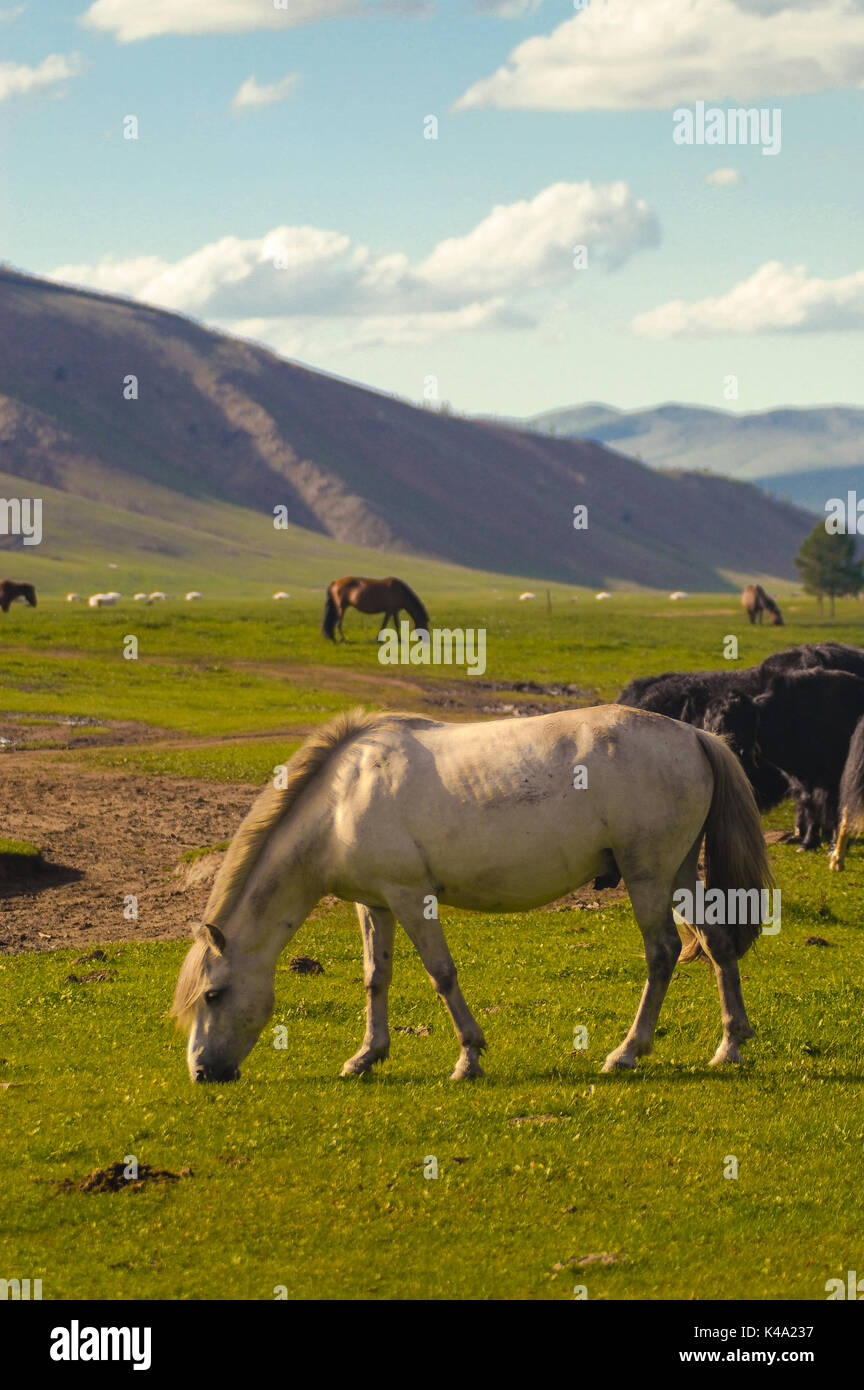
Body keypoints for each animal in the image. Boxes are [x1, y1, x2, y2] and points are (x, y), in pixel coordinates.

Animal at [172, 705, 771, 1085]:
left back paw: (628, 1052)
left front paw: (469, 1059)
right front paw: (366, 1056)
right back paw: (730, 1046)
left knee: (662, 952)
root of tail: (693, 735)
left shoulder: (411, 897)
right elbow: (376, 977)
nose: (202, 1072)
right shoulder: (376, 903)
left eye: (213, 995)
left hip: (647, 875)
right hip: (677, 873)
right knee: (717, 943)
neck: (341, 802)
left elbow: (441, 974)